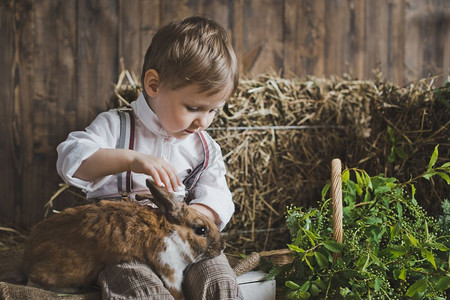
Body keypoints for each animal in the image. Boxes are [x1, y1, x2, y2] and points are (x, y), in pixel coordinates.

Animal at [22, 179, 224, 298]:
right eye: (201, 230)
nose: (222, 247)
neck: (170, 230)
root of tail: (30, 251)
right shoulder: (170, 269)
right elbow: (176, 290)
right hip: (72, 270)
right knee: (34, 280)